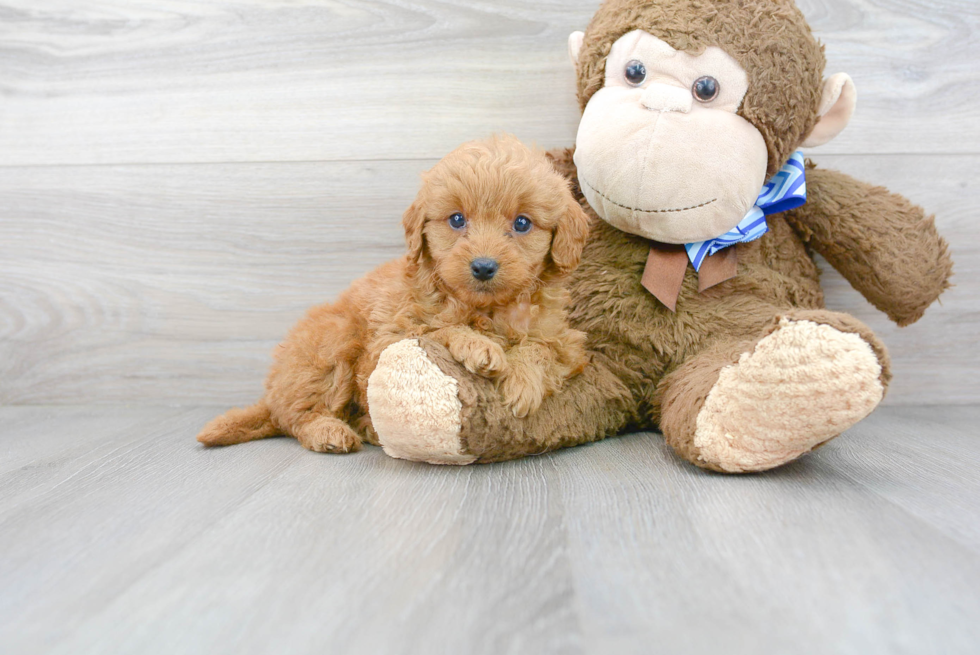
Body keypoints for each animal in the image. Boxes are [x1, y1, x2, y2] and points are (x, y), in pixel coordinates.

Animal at [195, 137, 584, 456]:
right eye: (457, 219)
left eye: (522, 223)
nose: (484, 266)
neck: (485, 307)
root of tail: (272, 392)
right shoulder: (385, 342)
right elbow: (435, 330)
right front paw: (478, 345)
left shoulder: (567, 342)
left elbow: (541, 348)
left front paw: (522, 382)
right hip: (331, 340)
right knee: (294, 416)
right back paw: (328, 431)